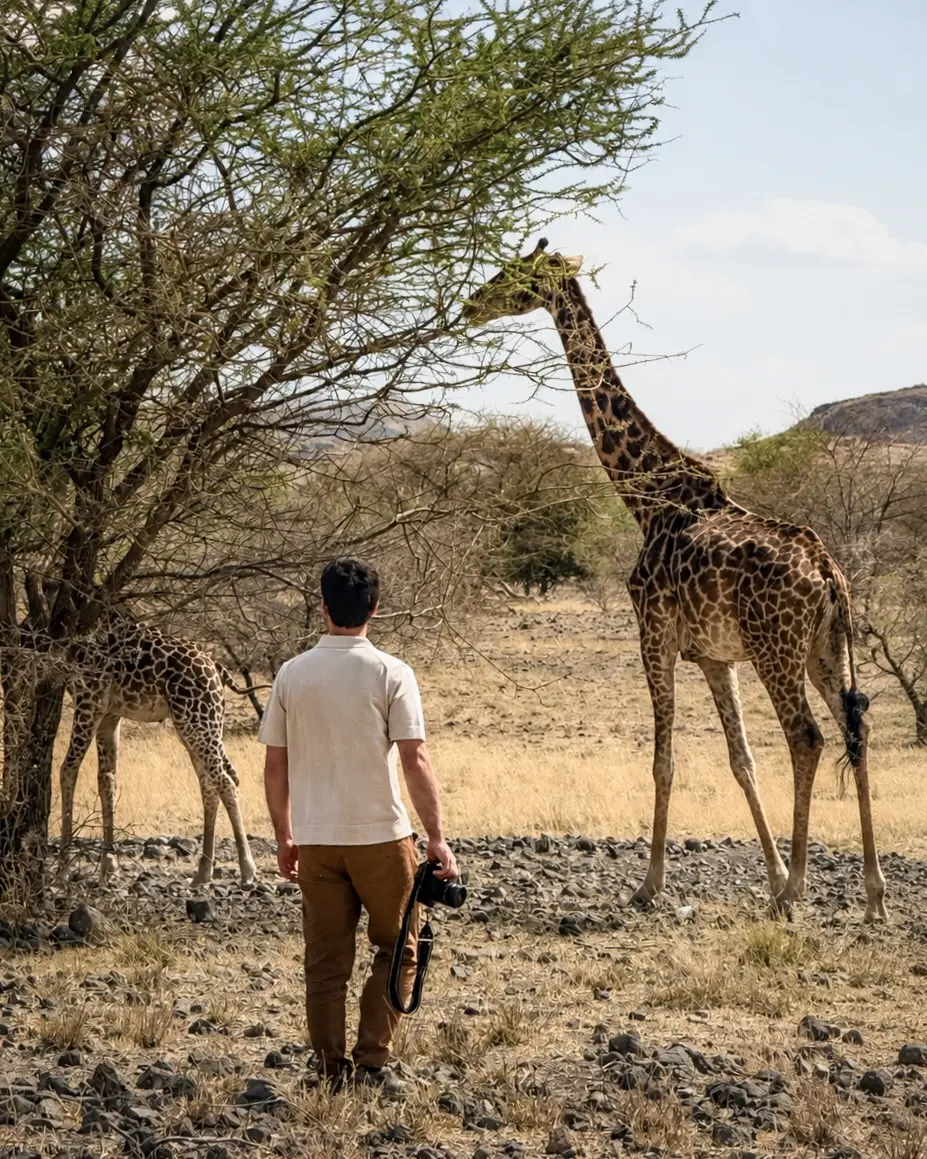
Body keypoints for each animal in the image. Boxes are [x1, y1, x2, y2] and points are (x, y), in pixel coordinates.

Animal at [58, 614, 258, 887]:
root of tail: (216, 667)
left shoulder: (88, 700)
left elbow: (68, 769)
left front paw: (63, 866)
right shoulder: (110, 714)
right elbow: (107, 779)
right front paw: (109, 865)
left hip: (197, 721)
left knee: (224, 781)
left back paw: (247, 869)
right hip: (199, 722)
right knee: (211, 783)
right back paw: (203, 872)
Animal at [463, 239, 887, 921]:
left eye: (517, 274)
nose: (473, 303)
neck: (647, 497)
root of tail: (828, 573)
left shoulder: (653, 633)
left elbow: (663, 761)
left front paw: (649, 885)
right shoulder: (715, 657)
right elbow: (741, 761)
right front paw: (767, 871)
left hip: (777, 648)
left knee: (807, 738)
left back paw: (795, 893)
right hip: (827, 649)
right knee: (857, 729)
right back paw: (872, 896)